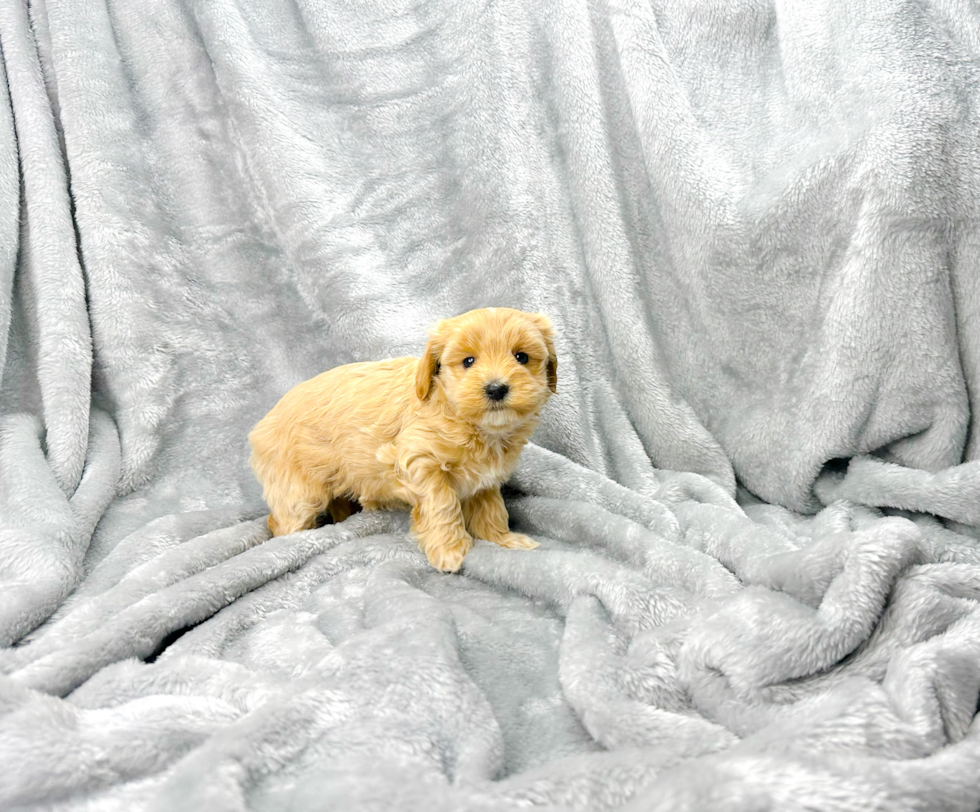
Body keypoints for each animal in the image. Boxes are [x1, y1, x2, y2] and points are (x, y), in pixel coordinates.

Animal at [249, 308, 556, 576]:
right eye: (468, 361)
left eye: (521, 357)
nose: (496, 388)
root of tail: (261, 424)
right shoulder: (417, 462)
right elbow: (443, 504)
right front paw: (449, 550)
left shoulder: (485, 480)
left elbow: (492, 510)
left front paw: (503, 540)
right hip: (298, 492)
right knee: (280, 521)